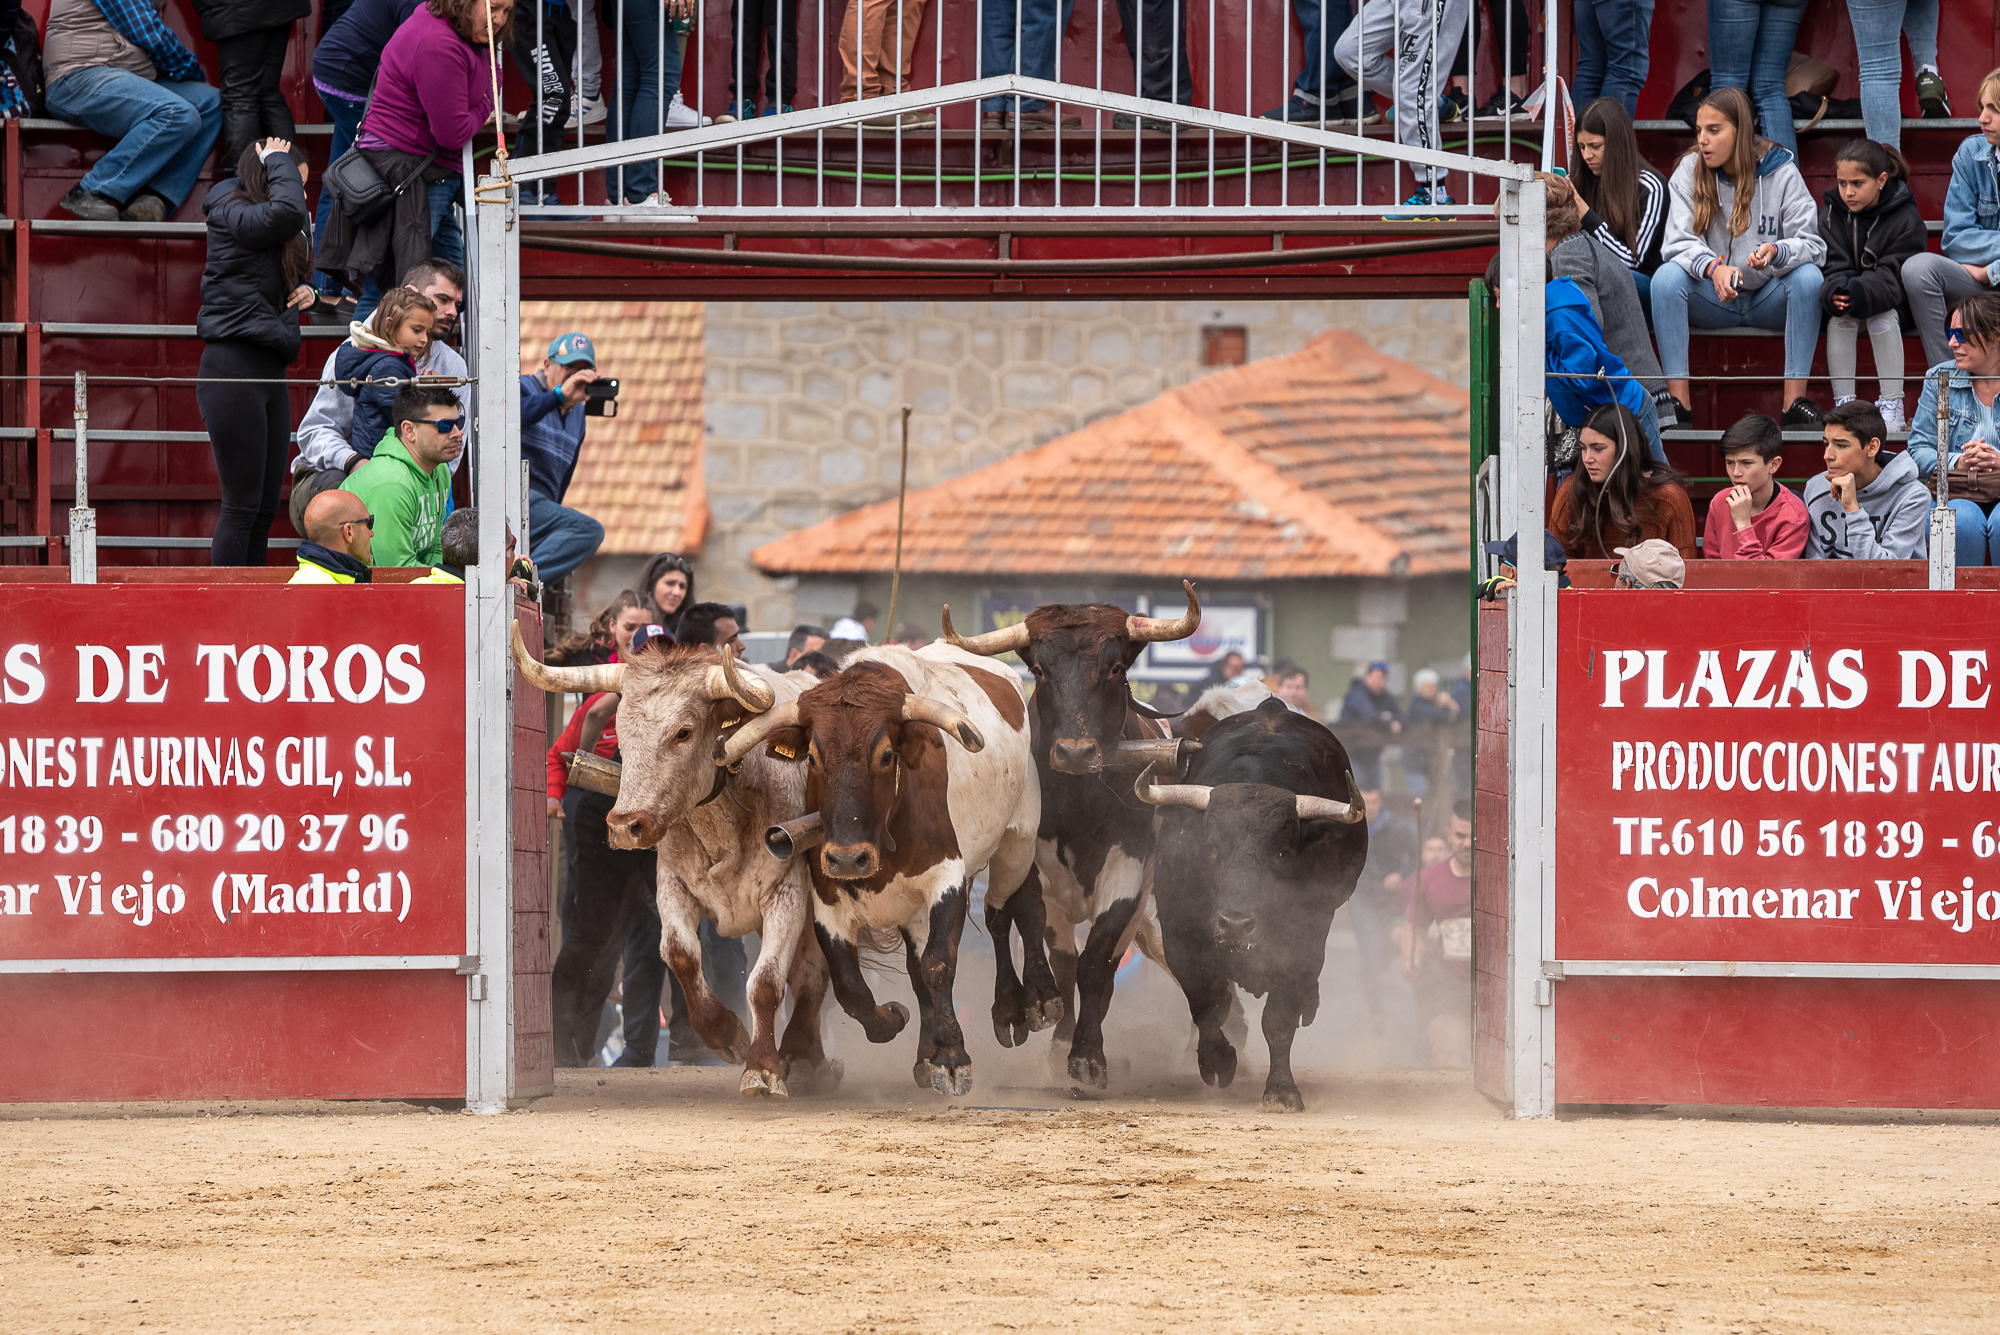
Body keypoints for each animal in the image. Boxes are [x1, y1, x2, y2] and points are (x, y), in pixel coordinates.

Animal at [512, 631, 840, 1103]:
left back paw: (804, 1059)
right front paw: (727, 1035)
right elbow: (681, 954)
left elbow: (764, 983)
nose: (625, 826)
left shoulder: (787, 895)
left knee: (814, 976)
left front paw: (762, 1068)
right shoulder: (672, 885)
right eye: (619, 734)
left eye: (683, 732)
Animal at [724, 643, 1064, 1095]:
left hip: (1018, 840)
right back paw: (926, 1053)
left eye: (886, 755)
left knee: (1012, 910)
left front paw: (952, 1057)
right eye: (812, 756)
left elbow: (939, 965)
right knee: (923, 966)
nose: (848, 859)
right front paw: (898, 1025)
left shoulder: (947, 880)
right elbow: (852, 986)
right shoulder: (829, 899)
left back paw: (1028, 1003)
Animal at [940, 579, 1200, 1087]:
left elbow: (1095, 960)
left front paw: (1087, 1056)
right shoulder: (1025, 859)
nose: (1075, 752)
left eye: (1115, 667)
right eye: (1040, 670)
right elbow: (1033, 925)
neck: (1080, 803)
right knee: (1026, 935)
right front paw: (1040, 1003)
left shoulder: (1129, 872)